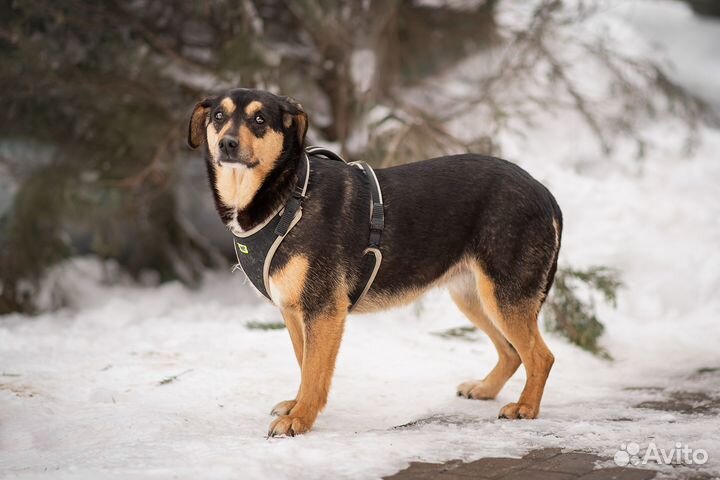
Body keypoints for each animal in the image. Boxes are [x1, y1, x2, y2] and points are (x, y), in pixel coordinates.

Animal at [187, 88, 564, 436]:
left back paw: (526, 407)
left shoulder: (324, 310)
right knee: (513, 352)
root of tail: (544, 192)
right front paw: (296, 406)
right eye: (218, 116)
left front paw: (300, 419)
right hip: (473, 295)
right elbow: (304, 363)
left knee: (541, 356)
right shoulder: (293, 311)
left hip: (504, 295)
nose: (227, 144)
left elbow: (314, 371)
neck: (287, 199)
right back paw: (485, 389)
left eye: (260, 119)